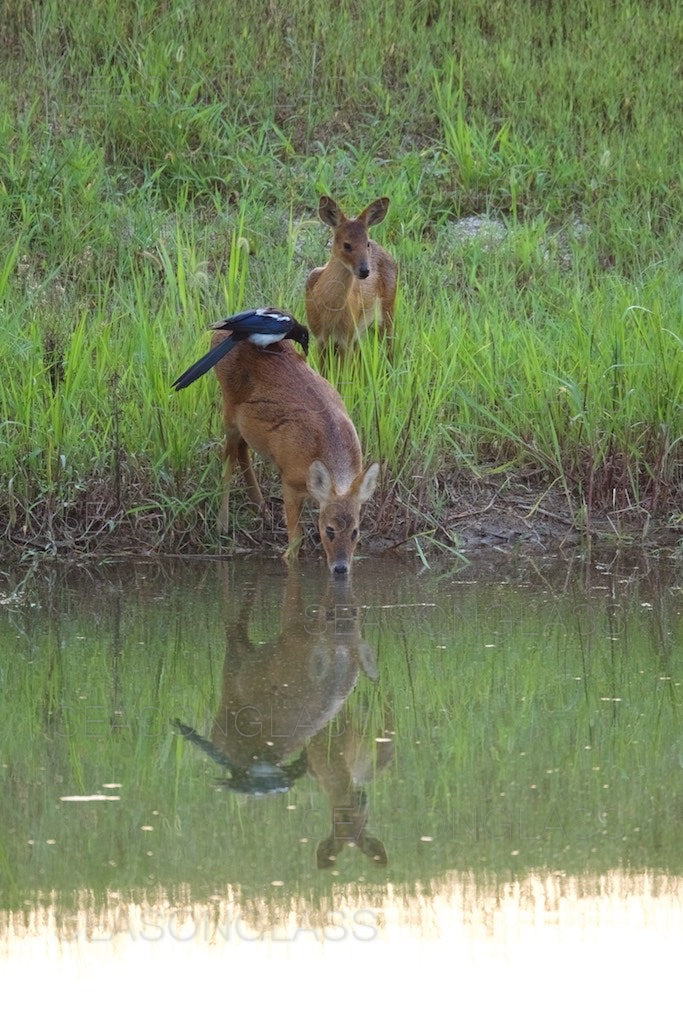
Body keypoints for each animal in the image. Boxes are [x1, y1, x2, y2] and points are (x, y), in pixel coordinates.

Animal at [305, 197, 397, 362]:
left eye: (367, 243)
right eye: (346, 245)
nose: (365, 270)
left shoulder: (346, 338)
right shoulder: (319, 338)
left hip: (387, 314)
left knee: (390, 350)